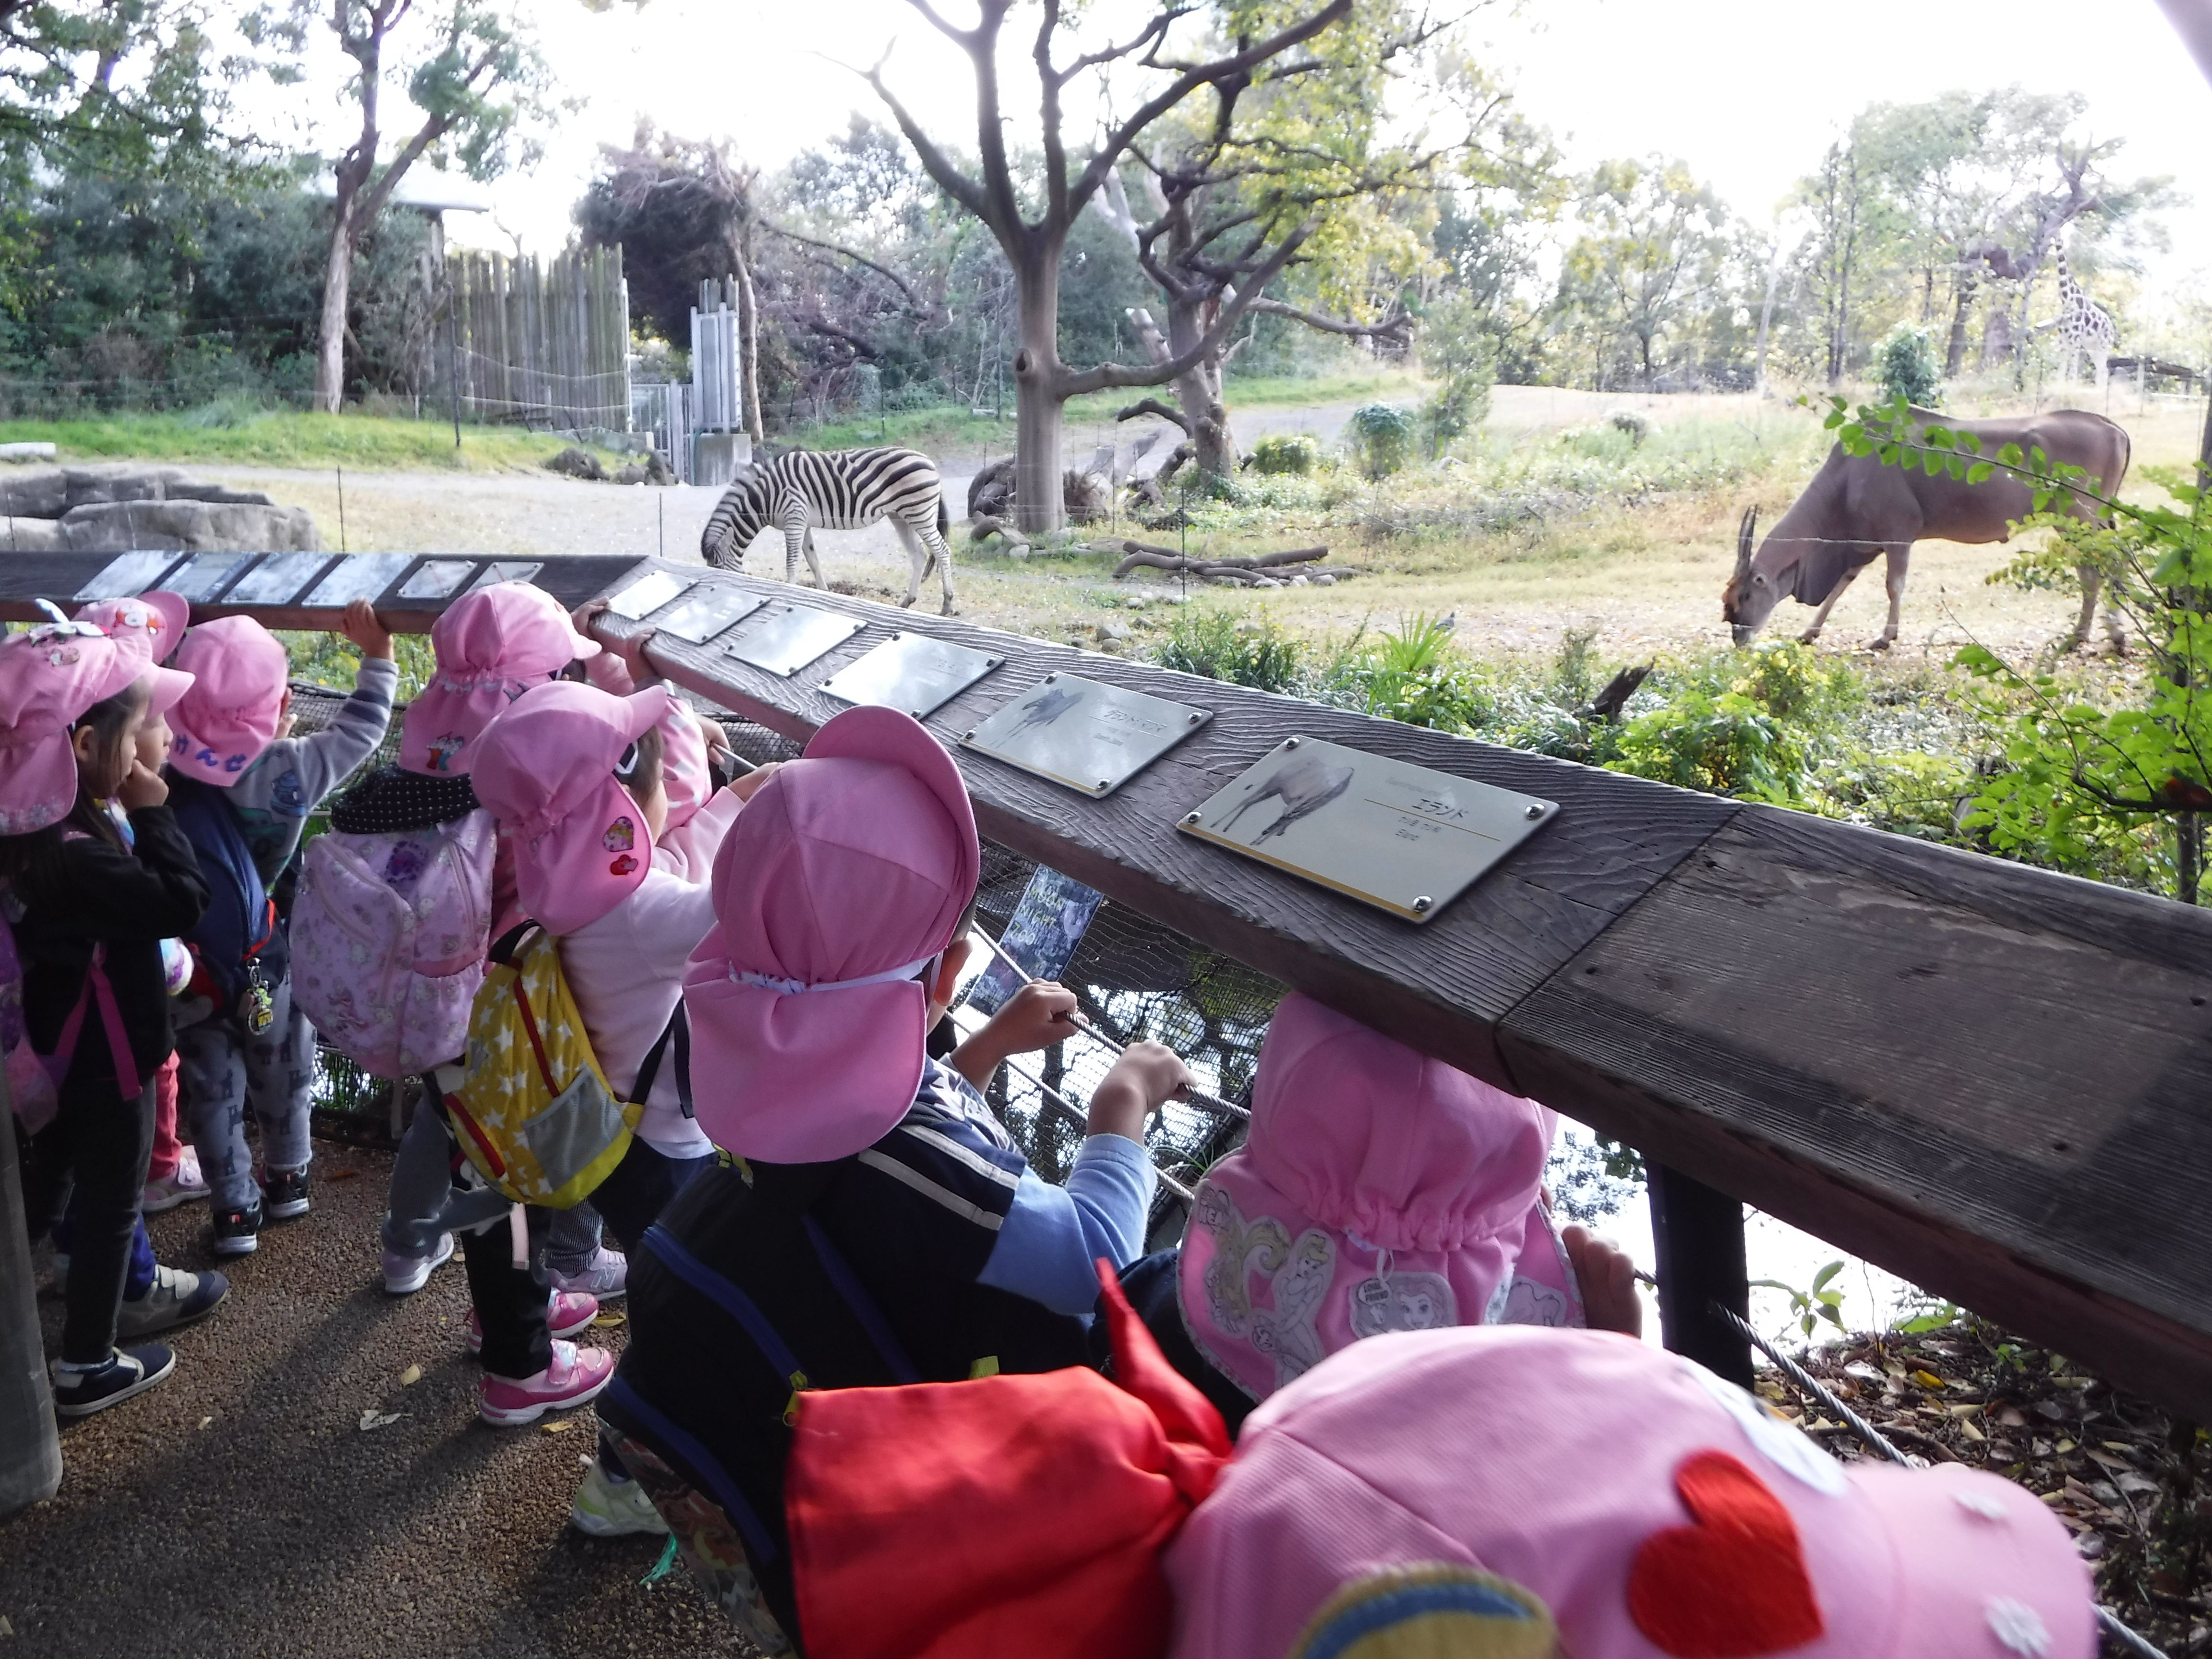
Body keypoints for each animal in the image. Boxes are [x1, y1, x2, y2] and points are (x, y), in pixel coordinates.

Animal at [699, 449, 960, 619]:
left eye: (721, 572)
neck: (764, 497)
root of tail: (928, 460)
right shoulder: (802, 523)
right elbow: (813, 561)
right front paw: (824, 594)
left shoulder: (795, 517)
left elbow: (791, 562)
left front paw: (790, 593)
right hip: (900, 516)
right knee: (918, 555)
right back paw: (907, 602)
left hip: (919, 512)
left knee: (941, 550)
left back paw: (947, 605)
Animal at [2044, 243, 2115, 389]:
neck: (2067, 299)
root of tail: (2113, 330)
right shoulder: (2064, 341)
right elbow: (2061, 373)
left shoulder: (2075, 341)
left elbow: (2072, 374)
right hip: (2091, 347)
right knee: (2101, 370)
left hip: (2104, 345)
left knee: (2104, 370)